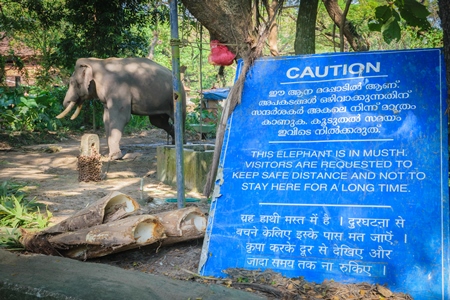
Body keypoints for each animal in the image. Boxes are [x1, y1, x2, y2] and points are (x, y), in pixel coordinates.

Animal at [56, 57, 186, 161]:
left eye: (72, 83)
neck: (99, 62)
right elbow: (106, 119)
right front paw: (108, 154)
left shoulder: (118, 89)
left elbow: (120, 118)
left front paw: (114, 157)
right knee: (158, 121)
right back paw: (175, 143)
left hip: (178, 96)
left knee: (177, 117)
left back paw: (182, 144)